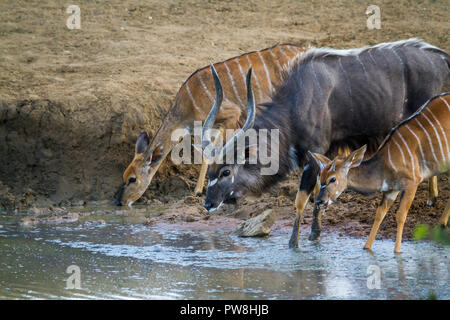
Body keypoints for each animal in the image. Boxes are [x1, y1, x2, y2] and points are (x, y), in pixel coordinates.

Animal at [116, 43, 306, 206]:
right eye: (123, 176)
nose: (120, 202)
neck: (189, 102)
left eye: (132, 179)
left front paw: (197, 191)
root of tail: (303, 48)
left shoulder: (231, 115)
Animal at [310, 92, 450, 252]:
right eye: (320, 177)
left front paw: (397, 252)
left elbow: (400, 215)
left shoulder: (412, 183)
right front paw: (367, 248)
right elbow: (379, 214)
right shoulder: (390, 190)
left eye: (332, 179)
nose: (319, 201)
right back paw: (441, 224)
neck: (384, 163)